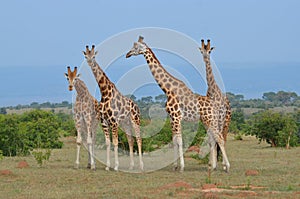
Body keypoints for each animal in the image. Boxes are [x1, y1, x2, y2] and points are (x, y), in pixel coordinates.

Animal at [125, 36, 231, 173]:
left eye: (136, 47)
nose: (127, 54)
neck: (168, 89)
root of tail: (215, 106)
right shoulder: (172, 118)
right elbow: (175, 141)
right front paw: (175, 166)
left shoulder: (176, 117)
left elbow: (180, 141)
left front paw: (182, 167)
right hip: (207, 121)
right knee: (214, 139)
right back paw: (213, 166)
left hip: (213, 120)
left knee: (220, 138)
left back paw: (226, 166)